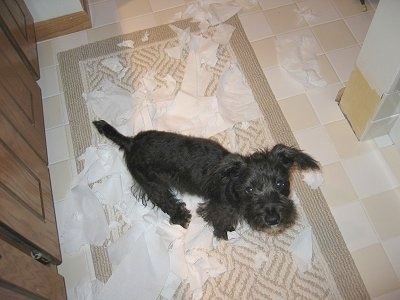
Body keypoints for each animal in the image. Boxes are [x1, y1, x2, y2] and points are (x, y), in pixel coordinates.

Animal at [93, 119, 318, 239]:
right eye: (250, 189)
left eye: (281, 183)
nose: (273, 219)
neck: (232, 185)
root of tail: (130, 142)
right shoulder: (217, 208)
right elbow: (220, 220)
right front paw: (225, 232)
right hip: (153, 185)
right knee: (166, 202)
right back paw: (181, 216)